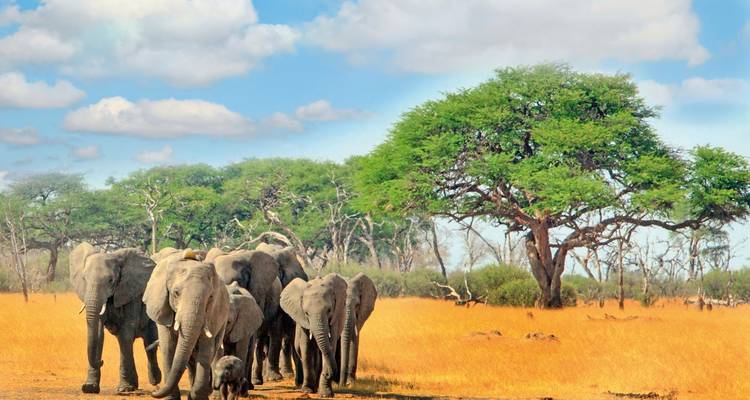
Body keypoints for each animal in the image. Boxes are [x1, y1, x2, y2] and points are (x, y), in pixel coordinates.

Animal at [69, 242, 161, 394]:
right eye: (84, 279)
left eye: (111, 280)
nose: (101, 362)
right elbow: (99, 335)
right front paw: (89, 388)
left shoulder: (131, 291)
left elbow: (125, 335)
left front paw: (123, 389)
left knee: (149, 342)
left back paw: (155, 380)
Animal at [143, 249, 229, 400]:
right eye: (176, 293)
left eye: (210, 297)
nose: (154, 391)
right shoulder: (162, 307)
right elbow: (168, 348)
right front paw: (171, 398)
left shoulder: (212, 315)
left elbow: (205, 349)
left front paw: (195, 396)